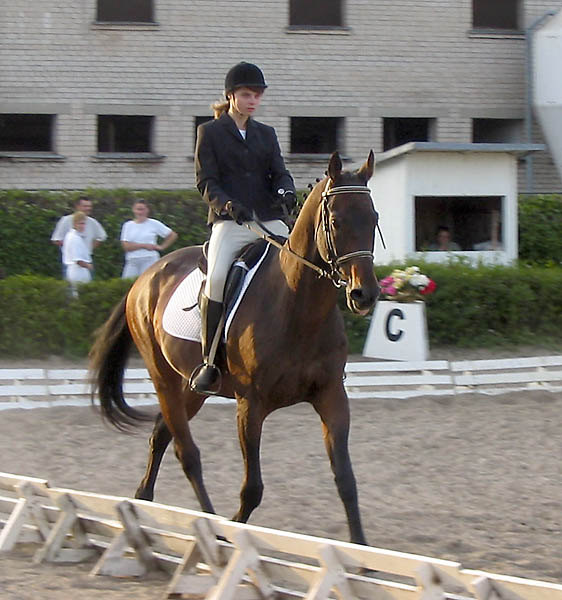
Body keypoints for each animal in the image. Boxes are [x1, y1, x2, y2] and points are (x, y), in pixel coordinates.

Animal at [91, 150, 380, 544]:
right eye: (334, 221)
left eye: (373, 218)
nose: (364, 295)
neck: (298, 307)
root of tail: (146, 275)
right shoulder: (250, 405)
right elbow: (252, 489)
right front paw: (235, 531)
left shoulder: (332, 396)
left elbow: (347, 481)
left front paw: (362, 549)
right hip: (163, 378)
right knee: (186, 451)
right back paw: (208, 525)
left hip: (192, 388)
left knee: (161, 436)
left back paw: (143, 501)